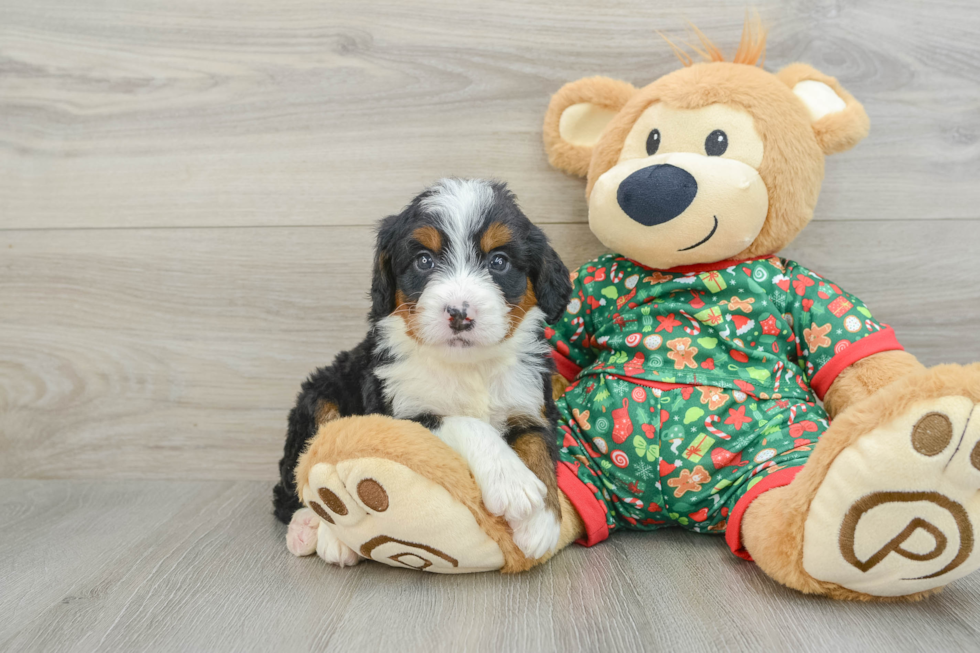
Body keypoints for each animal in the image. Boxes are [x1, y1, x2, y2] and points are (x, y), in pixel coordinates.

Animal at [272, 177, 572, 560]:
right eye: (424, 260)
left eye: (499, 261)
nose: (459, 313)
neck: (467, 367)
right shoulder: (400, 414)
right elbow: (468, 424)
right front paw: (512, 482)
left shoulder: (531, 401)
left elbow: (538, 445)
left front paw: (542, 521)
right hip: (320, 394)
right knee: (295, 482)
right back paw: (315, 531)